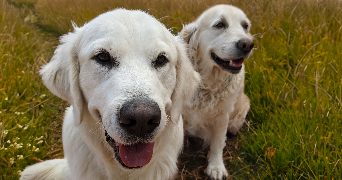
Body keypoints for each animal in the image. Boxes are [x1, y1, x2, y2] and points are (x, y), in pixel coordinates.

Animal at [180, 4, 252, 179]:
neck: (207, 84)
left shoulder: (222, 117)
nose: (248, 44)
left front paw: (216, 167)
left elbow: (218, 143)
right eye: (220, 24)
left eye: (245, 26)